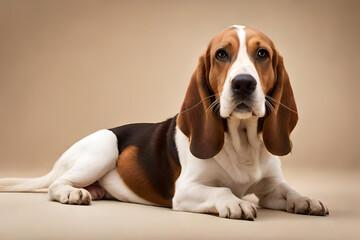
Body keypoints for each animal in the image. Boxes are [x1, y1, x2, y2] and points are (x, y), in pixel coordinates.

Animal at [0, 25, 328, 219]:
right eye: (222, 54)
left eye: (262, 53)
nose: (244, 84)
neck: (241, 141)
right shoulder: (185, 190)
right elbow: (221, 191)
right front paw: (234, 201)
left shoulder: (272, 187)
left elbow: (289, 191)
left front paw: (306, 199)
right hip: (104, 147)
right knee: (56, 184)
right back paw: (73, 193)